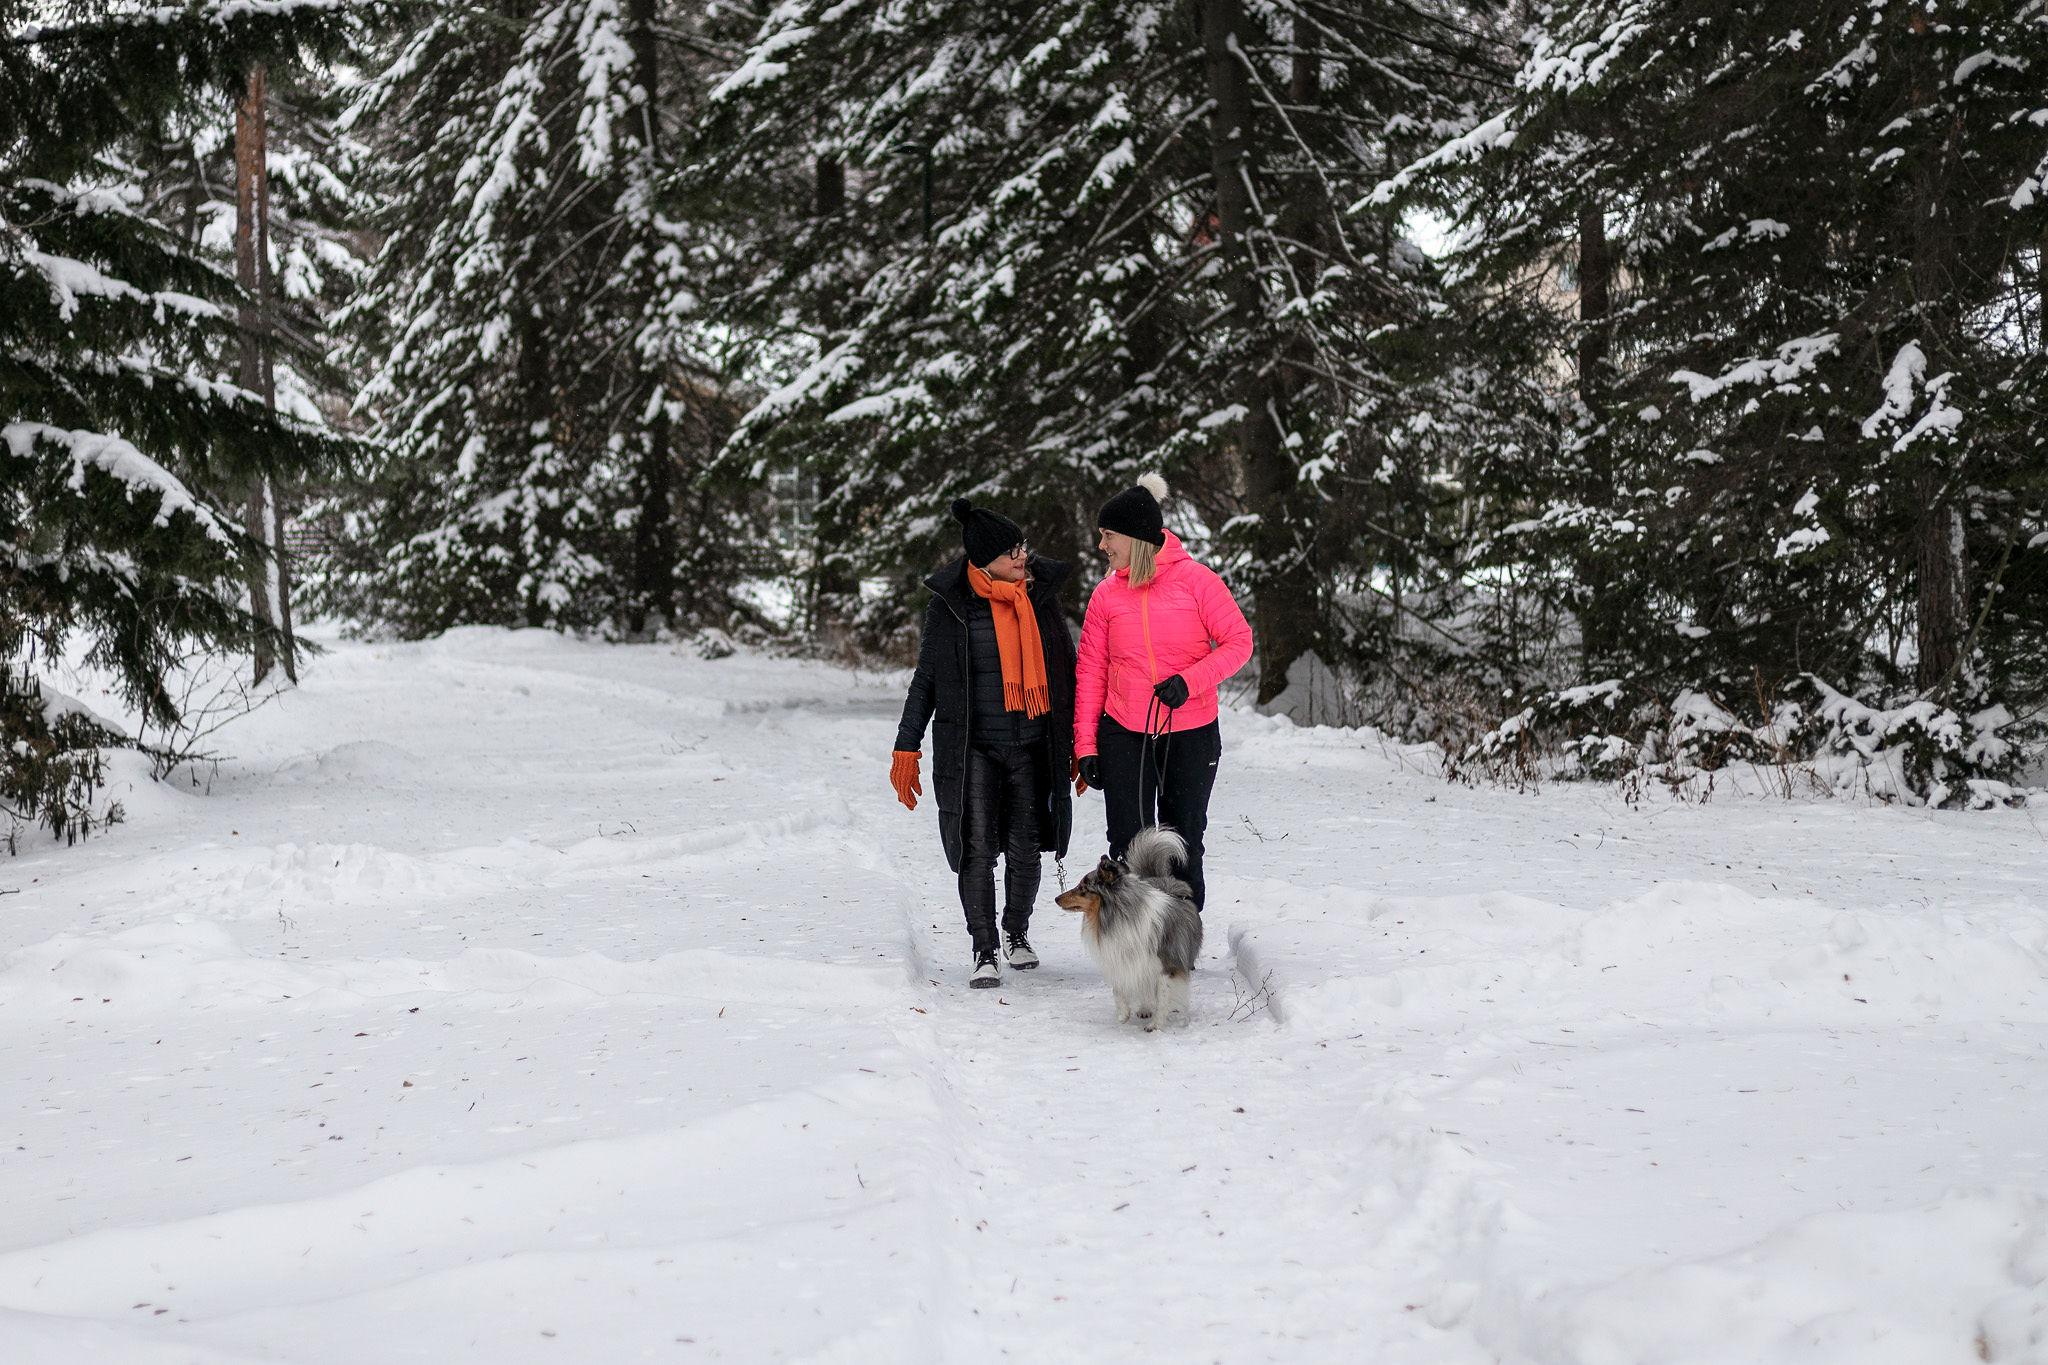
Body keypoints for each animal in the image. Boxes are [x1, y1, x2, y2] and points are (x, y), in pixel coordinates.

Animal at [1056, 826, 1196, 1031]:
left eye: (1083, 887)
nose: (1056, 898)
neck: (1116, 916)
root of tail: (1160, 880)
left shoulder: (1166, 965)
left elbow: (1163, 996)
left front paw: (1155, 1025)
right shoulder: (1121, 957)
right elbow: (1119, 989)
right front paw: (1123, 1015)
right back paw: (1144, 1009)